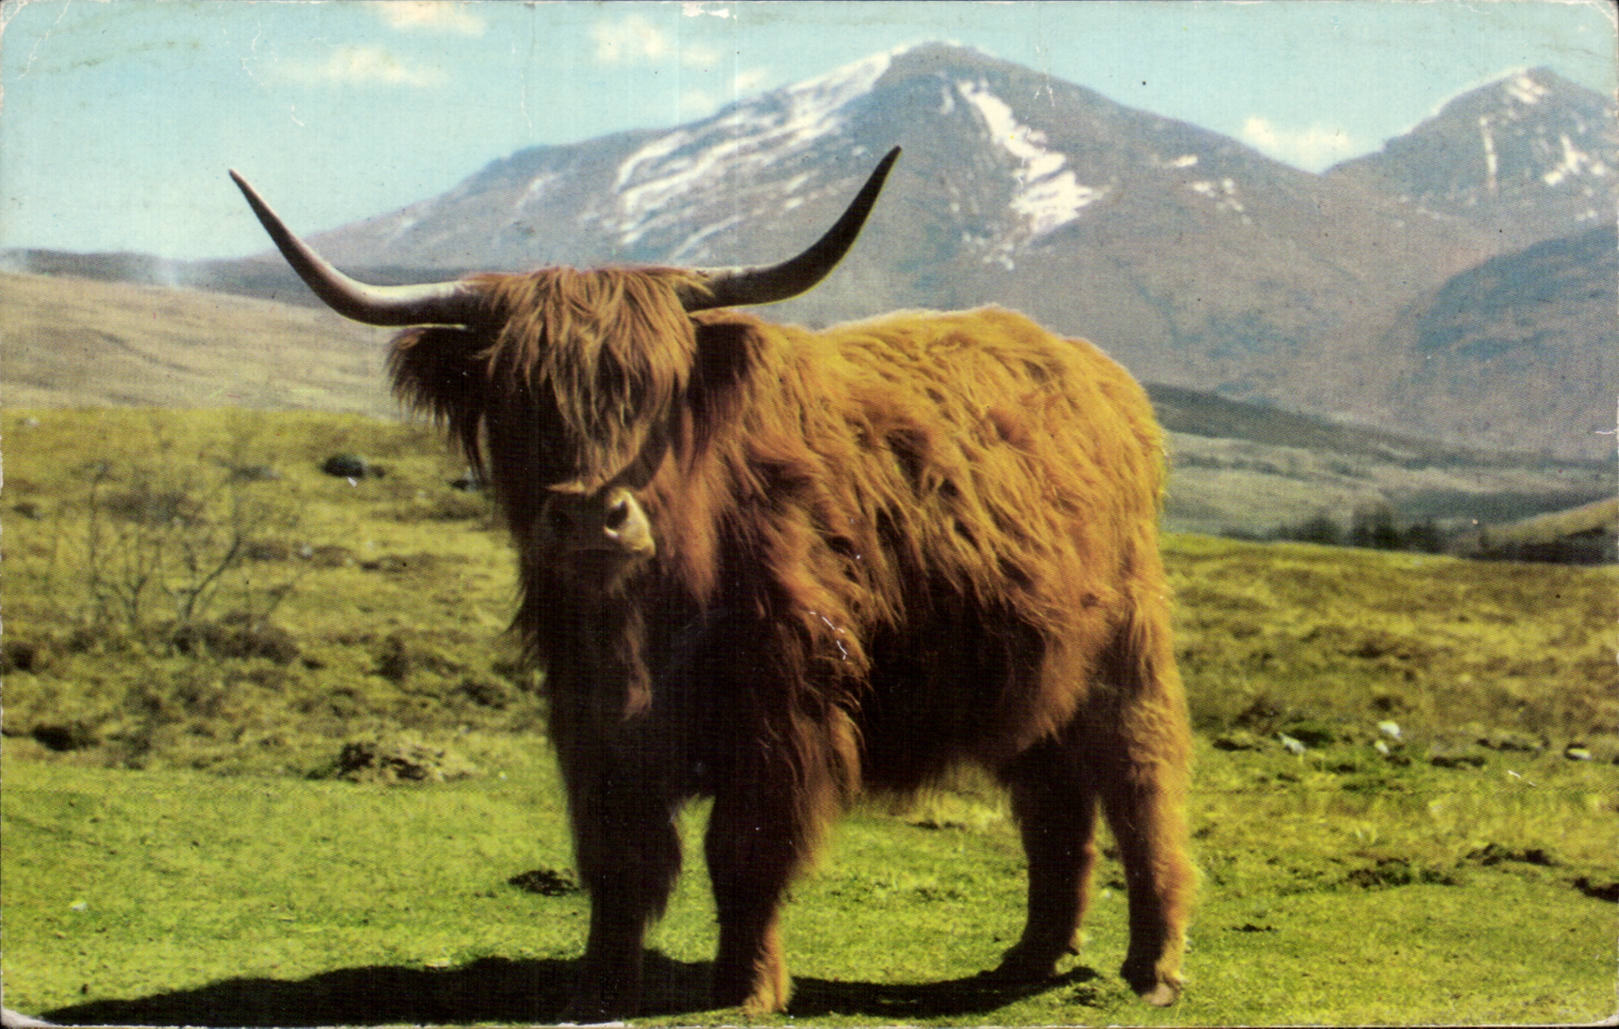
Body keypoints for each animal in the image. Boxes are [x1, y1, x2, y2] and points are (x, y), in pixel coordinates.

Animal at [230, 147, 1194, 1018]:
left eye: (655, 389)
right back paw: (1031, 955)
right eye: (516, 397)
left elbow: (745, 850)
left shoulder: (784, 706)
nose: (591, 517)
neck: (651, 611)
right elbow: (620, 855)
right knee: (1055, 807)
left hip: (1127, 655)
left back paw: (1151, 966)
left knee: (1140, 787)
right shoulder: (591, 716)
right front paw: (600, 983)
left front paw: (745, 987)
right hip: (1035, 676)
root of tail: (1094, 369)